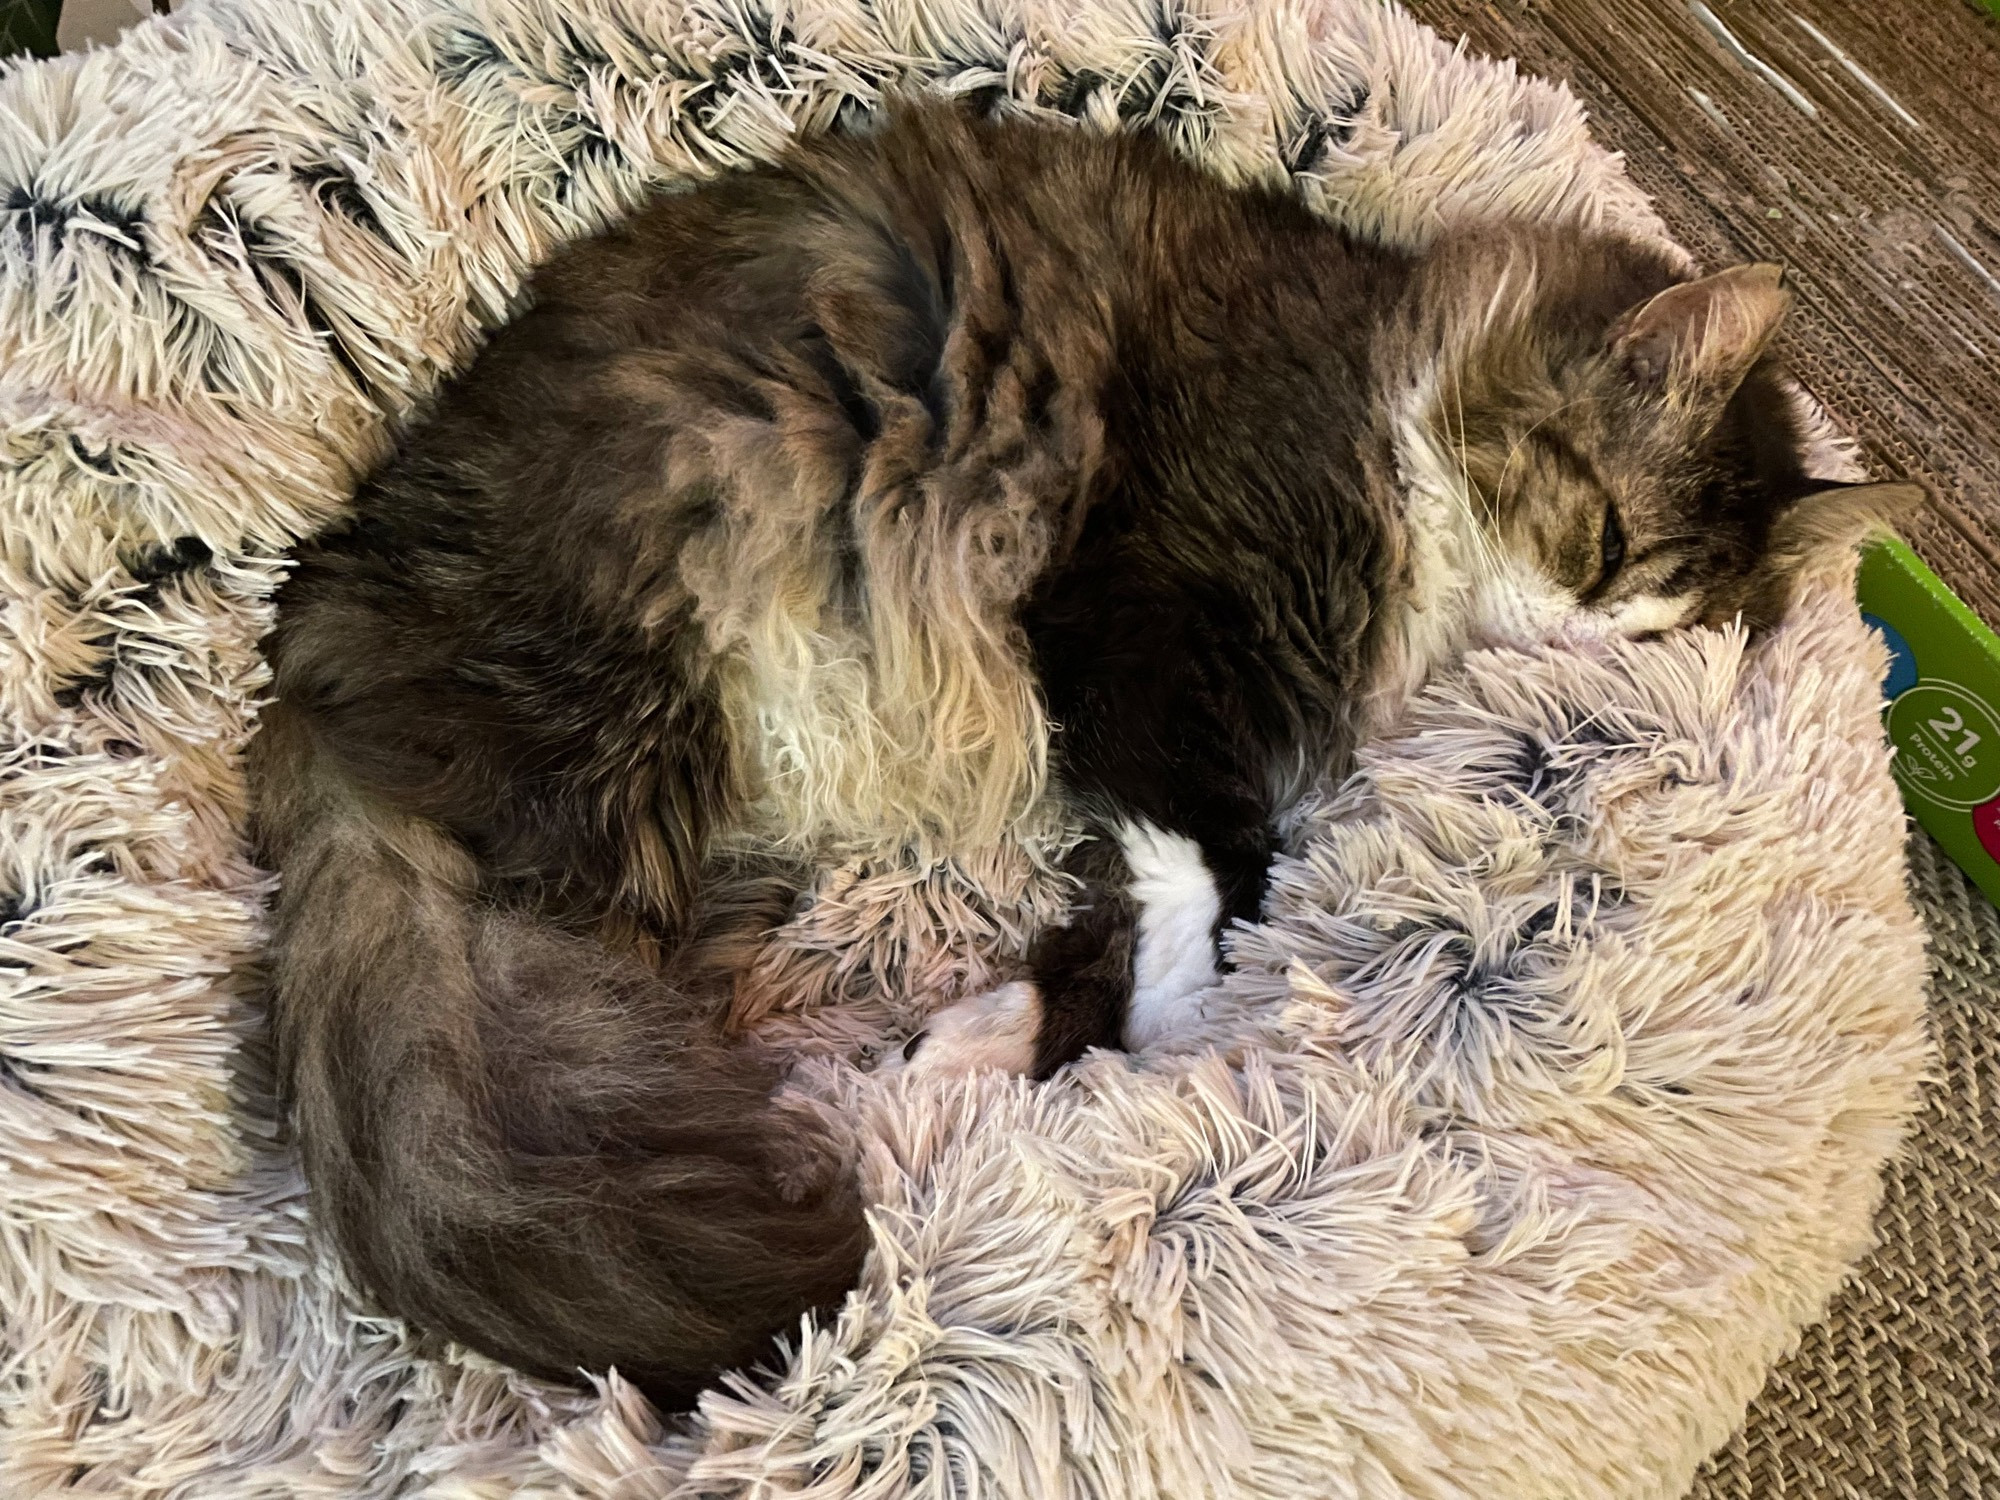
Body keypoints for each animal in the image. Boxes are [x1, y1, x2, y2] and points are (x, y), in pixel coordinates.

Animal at [250, 97, 1920, 1408]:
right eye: (1612, 547)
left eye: (1673, 632)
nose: (1580, 651)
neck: (1392, 367)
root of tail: (324, 663)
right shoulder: (1147, 619)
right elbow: (1215, 866)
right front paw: (1163, 1021)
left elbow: (1132, 908)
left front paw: (1010, 1040)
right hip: (650, 703)